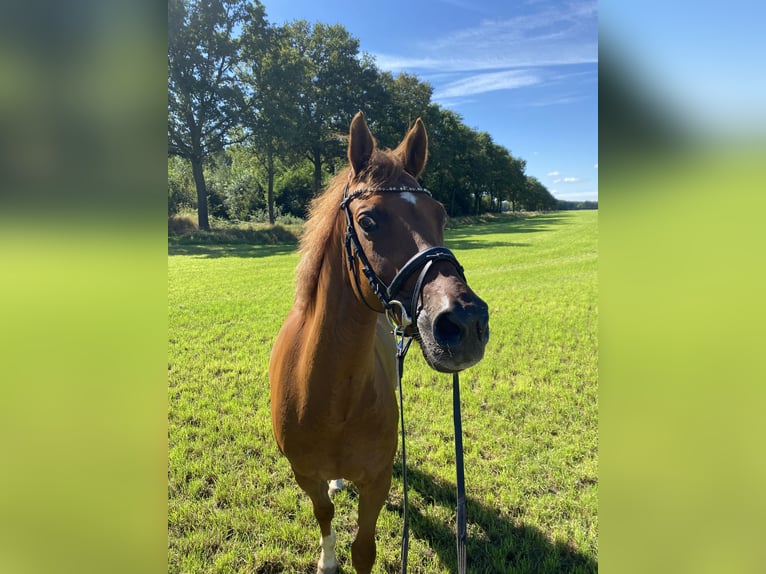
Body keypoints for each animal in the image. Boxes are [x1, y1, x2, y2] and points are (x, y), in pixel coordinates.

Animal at [268, 112, 486, 574]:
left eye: (440, 215)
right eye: (368, 221)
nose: (465, 322)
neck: (330, 397)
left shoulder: (378, 480)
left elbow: (364, 550)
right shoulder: (304, 474)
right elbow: (324, 513)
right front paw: (326, 560)